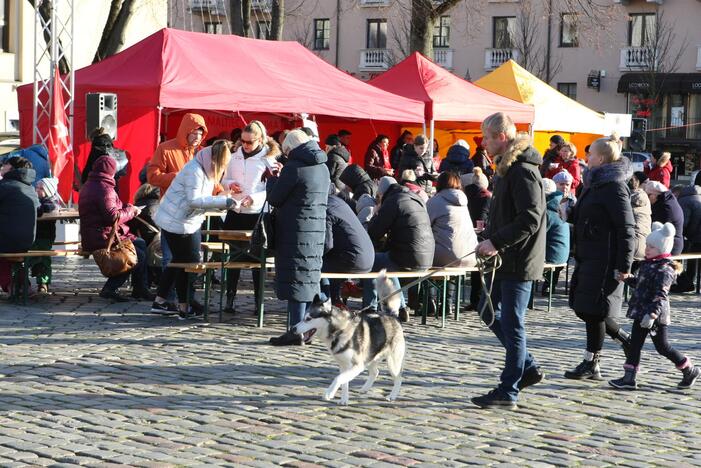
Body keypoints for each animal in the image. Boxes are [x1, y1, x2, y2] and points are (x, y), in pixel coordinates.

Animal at [292, 270, 408, 406]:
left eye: (308, 319)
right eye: (304, 318)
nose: (293, 329)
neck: (339, 331)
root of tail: (392, 315)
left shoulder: (357, 366)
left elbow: (338, 379)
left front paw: (329, 393)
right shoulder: (344, 366)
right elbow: (344, 383)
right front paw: (343, 400)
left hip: (392, 362)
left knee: (399, 378)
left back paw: (392, 396)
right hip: (370, 357)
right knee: (376, 372)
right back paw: (364, 389)